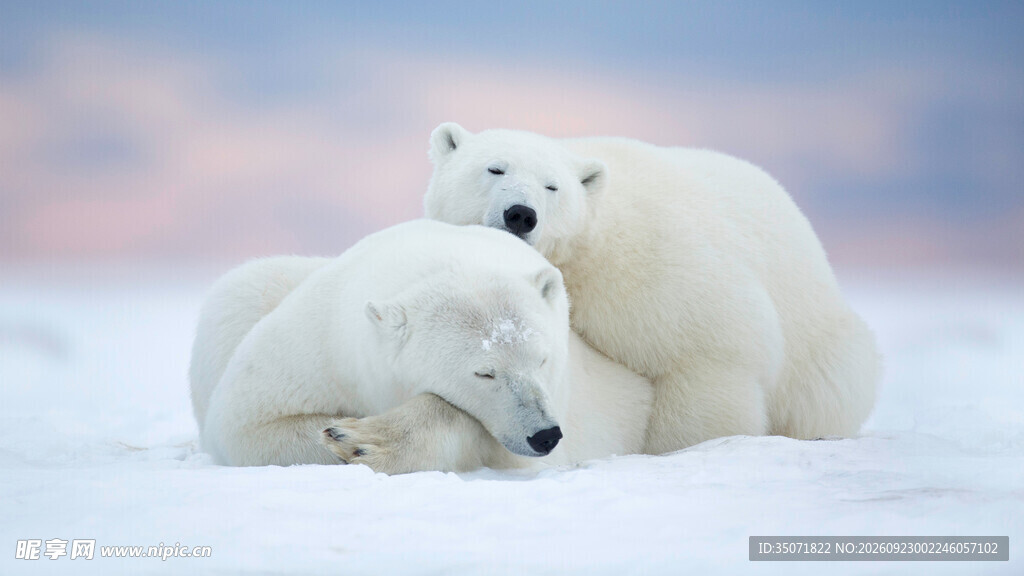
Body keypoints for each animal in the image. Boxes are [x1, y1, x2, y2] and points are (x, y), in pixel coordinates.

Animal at [189, 219, 652, 473]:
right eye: (485, 372)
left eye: (542, 359)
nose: (545, 435)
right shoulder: (320, 344)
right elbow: (246, 423)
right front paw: (343, 433)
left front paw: (365, 439)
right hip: (244, 294)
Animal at [424, 123, 880, 455]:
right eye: (494, 168)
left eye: (552, 186)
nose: (521, 214)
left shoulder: (653, 269)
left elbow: (708, 353)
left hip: (820, 344)